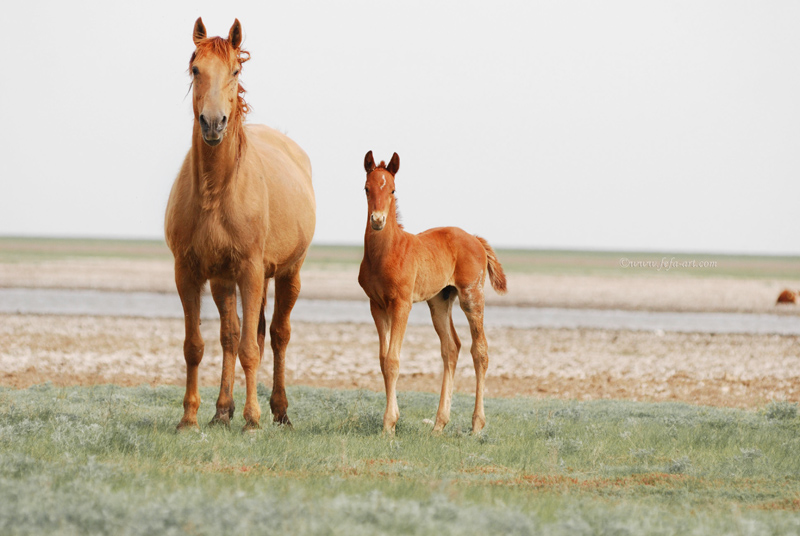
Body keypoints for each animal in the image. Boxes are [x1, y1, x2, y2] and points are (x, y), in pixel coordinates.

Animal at [164, 17, 314, 432]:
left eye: (235, 71)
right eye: (195, 69)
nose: (214, 123)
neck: (217, 191)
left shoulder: (250, 269)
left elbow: (251, 349)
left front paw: (252, 420)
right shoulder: (188, 272)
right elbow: (196, 346)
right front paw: (190, 418)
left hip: (287, 273)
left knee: (277, 336)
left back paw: (279, 410)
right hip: (223, 279)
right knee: (232, 335)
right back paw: (222, 410)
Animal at [358, 152, 506, 436]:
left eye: (392, 189)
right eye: (366, 188)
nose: (378, 220)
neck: (386, 253)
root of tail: (475, 238)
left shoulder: (402, 304)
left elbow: (393, 360)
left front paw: (389, 424)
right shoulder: (376, 305)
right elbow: (383, 359)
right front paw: (391, 421)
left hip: (472, 295)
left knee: (479, 351)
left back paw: (476, 425)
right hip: (440, 300)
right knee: (451, 348)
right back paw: (439, 424)